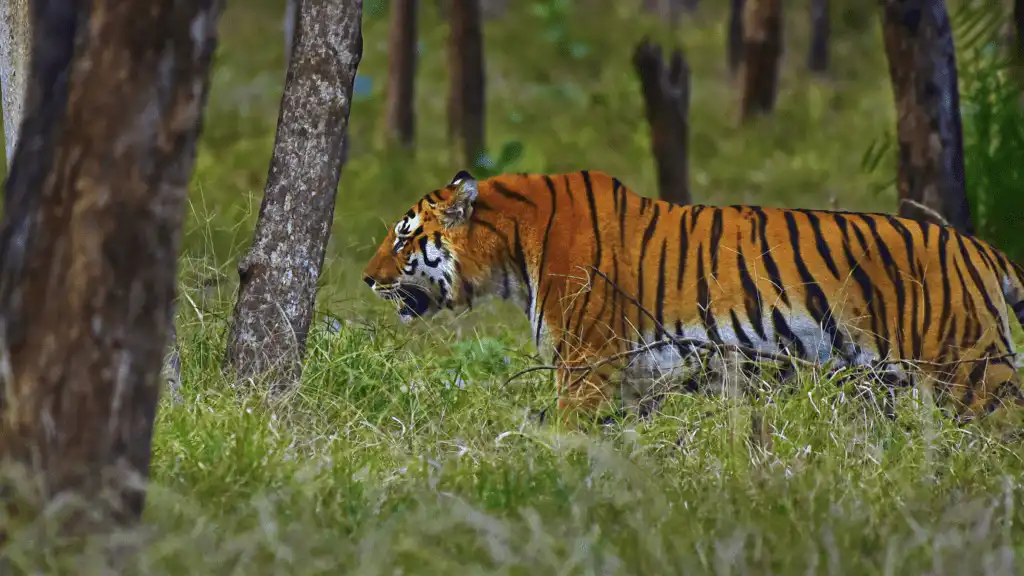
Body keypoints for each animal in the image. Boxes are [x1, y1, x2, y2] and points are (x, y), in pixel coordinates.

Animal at [361, 169, 1024, 423]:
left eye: (403, 236)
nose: (366, 278)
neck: (510, 251)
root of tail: (980, 248)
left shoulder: (585, 365)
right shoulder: (635, 381)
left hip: (972, 371)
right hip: (889, 384)